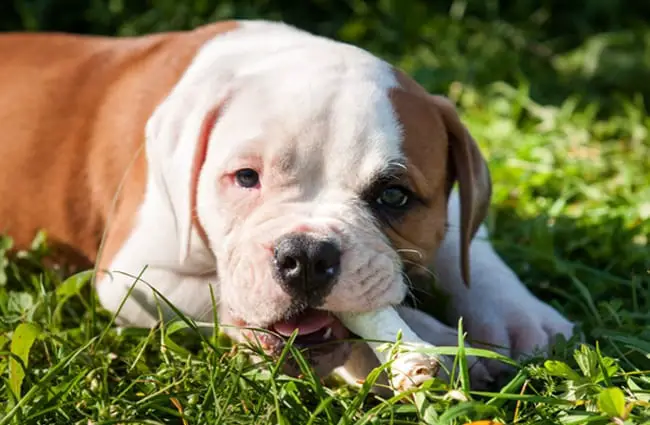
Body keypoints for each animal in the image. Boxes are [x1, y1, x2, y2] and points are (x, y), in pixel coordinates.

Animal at [0, 20, 568, 388]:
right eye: (246, 178)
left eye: (394, 195)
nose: (308, 256)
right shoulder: (135, 280)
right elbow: (225, 298)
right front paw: (426, 344)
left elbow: (465, 244)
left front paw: (516, 313)